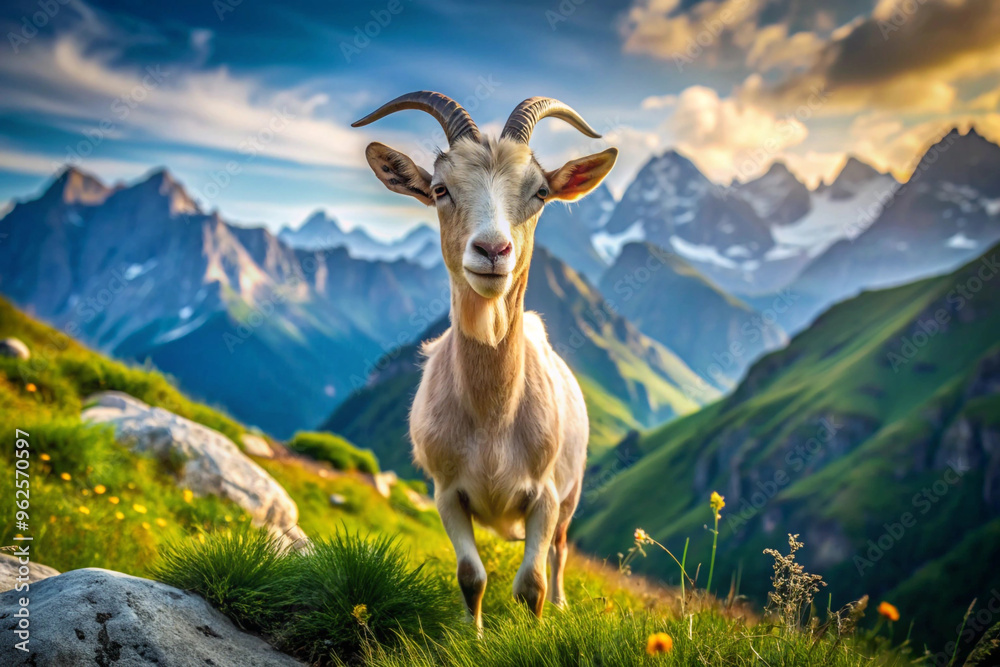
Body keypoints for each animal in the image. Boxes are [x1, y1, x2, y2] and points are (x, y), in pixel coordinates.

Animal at [354, 91, 616, 628]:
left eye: (540, 192)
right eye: (440, 189)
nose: (494, 249)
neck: (494, 420)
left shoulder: (545, 495)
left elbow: (532, 583)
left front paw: (538, 631)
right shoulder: (446, 492)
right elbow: (471, 576)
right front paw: (471, 634)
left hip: (572, 491)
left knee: (560, 551)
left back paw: (563, 605)